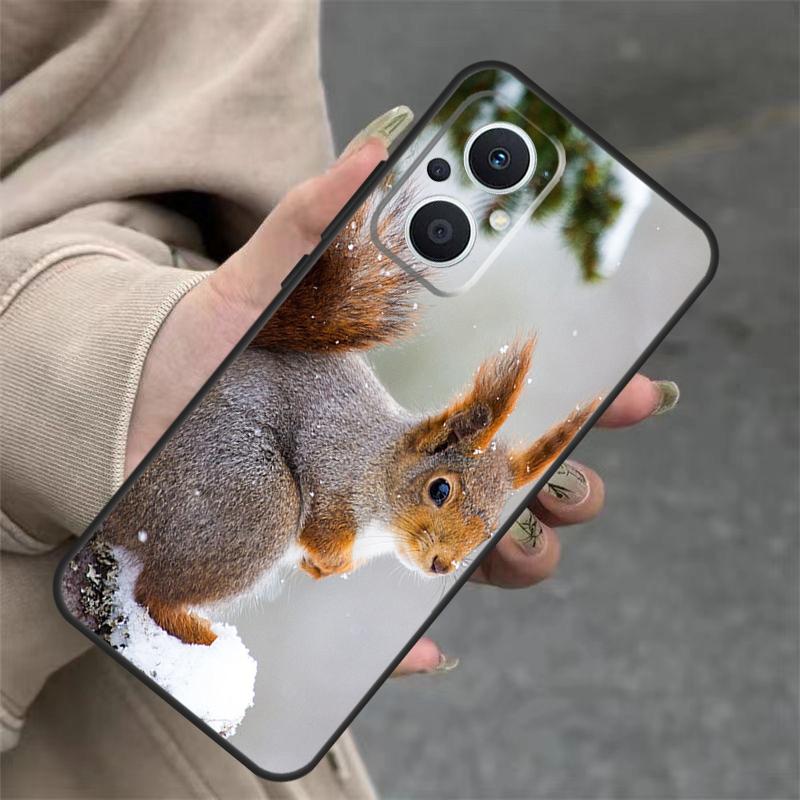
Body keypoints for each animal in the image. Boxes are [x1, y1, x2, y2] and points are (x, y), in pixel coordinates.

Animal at [99, 198, 597, 646]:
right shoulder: (331, 463)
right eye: (439, 489)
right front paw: (327, 560)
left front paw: (321, 568)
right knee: (152, 594)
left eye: (493, 529)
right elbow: (324, 527)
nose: (442, 565)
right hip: (252, 500)